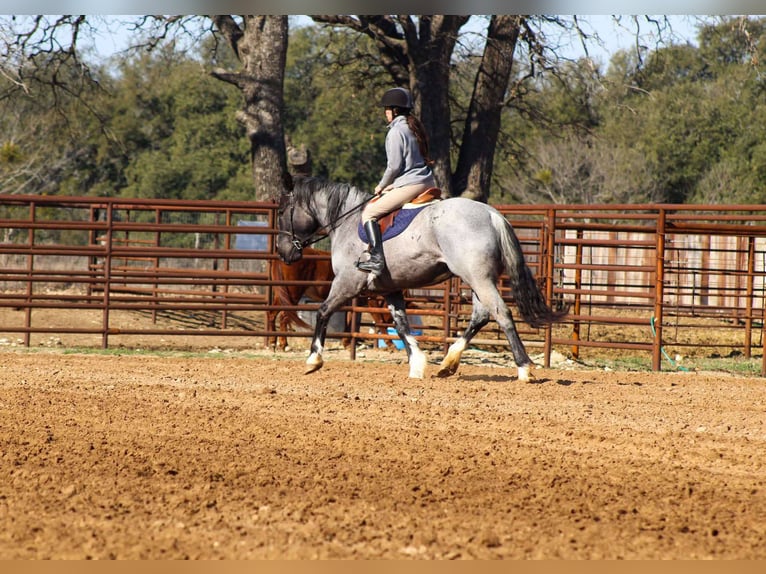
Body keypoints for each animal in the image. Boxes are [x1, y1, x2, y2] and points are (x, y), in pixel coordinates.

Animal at [275, 176, 569, 381]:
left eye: (282, 211)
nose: (282, 251)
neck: (346, 223)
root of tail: (491, 213)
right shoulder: (390, 289)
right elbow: (401, 324)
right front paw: (416, 365)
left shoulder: (347, 283)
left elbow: (323, 311)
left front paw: (313, 360)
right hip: (478, 279)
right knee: (481, 315)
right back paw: (449, 363)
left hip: (478, 278)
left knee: (501, 313)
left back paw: (523, 368)